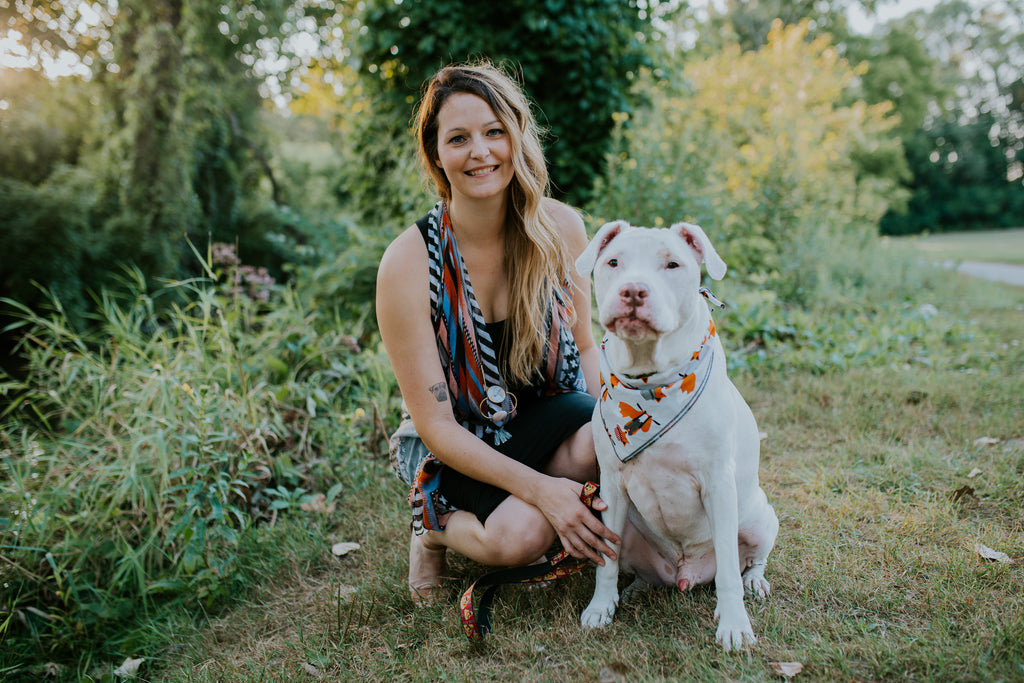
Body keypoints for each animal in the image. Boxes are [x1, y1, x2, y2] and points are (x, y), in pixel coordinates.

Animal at [577, 220, 774, 651]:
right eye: (613, 262)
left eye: (672, 264)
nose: (633, 291)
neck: (652, 383)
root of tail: (687, 574)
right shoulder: (611, 486)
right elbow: (606, 560)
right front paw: (601, 606)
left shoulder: (718, 484)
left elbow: (730, 572)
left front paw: (734, 624)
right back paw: (634, 588)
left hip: (759, 518)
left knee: (749, 560)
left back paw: (755, 581)